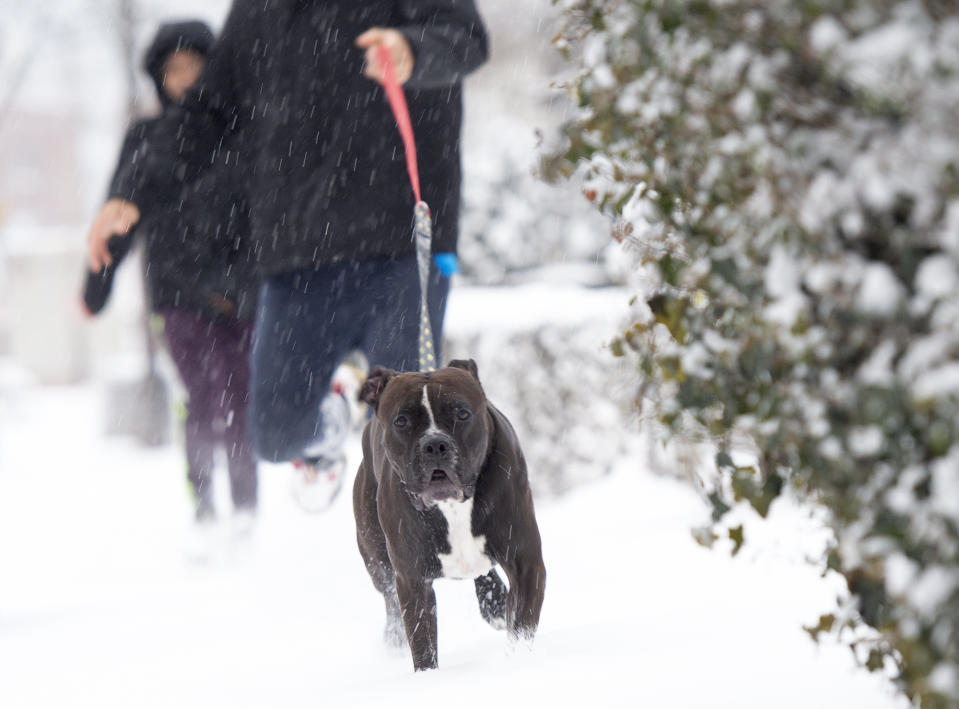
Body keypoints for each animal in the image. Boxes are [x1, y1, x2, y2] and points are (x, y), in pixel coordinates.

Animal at [352, 360, 548, 668]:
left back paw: (495, 602)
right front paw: (429, 675)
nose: (435, 444)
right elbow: (422, 642)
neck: (452, 506)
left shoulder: (525, 563)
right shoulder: (412, 582)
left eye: (462, 413)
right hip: (376, 559)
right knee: (390, 601)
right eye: (401, 420)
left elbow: (521, 628)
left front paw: (516, 661)